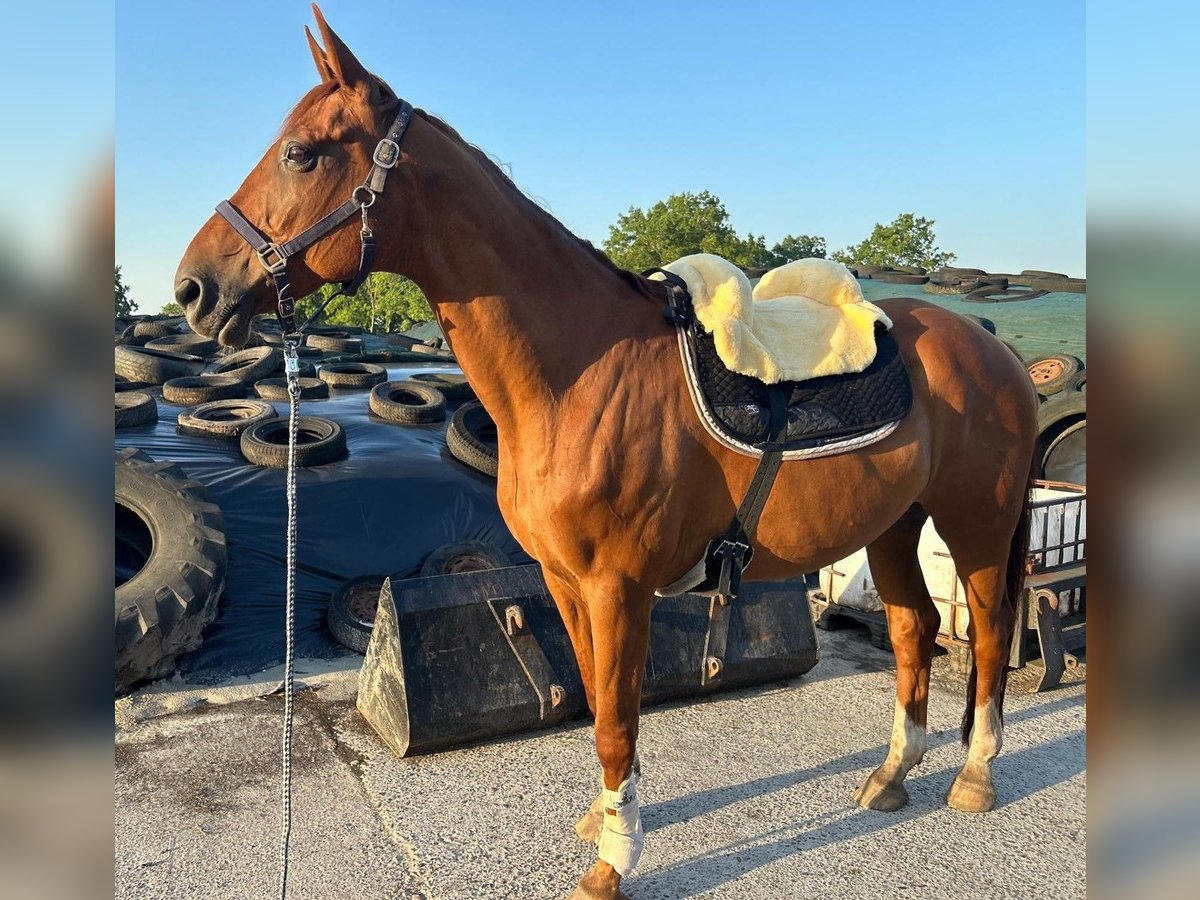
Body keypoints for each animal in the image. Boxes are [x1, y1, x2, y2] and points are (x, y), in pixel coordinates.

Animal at [174, 8, 1036, 900]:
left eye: (300, 153)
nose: (193, 288)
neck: (580, 372)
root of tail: (991, 347)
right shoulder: (565, 582)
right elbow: (593, 703)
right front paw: (605, 820)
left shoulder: (620, 588)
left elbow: (619, 721)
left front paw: (612, 862)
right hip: (896, 525)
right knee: (913, 627)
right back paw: (892, 776)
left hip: (974, 526)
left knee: (990, 631)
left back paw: (975, 775)